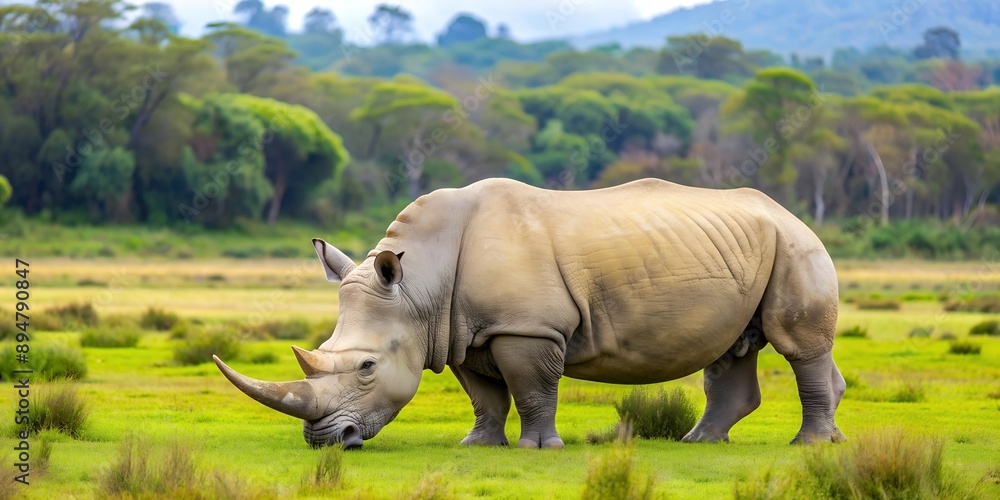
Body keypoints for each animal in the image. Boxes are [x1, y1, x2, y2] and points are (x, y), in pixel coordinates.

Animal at [214, 178, 846, 449]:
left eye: (367, 367)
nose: (324, 440)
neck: (419, 287)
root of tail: (787, 210)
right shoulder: (460, 331)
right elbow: (485, 395)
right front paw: (478, 447)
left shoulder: (526, 328)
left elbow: (534, 388)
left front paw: (540, 449)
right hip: (754, 245)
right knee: (733, 347)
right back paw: (700, 443)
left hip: (796, 243)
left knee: (798, 345)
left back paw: (811, 447)